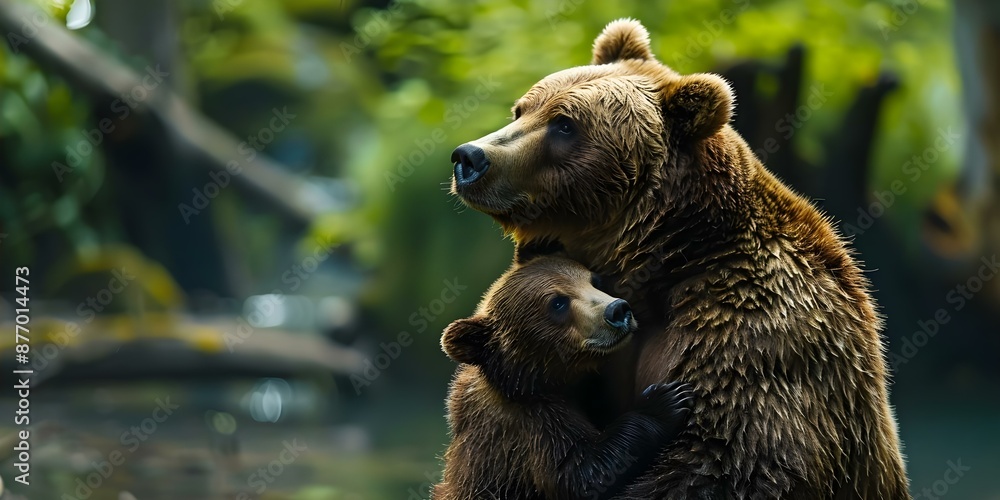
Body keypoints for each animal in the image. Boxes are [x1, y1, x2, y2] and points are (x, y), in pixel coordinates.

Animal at [433, 254, 692, 500]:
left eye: (594, 281)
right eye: (557, 302)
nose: (618, 310)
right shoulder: (528, 427)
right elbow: (581, 473)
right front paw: (664, 402)